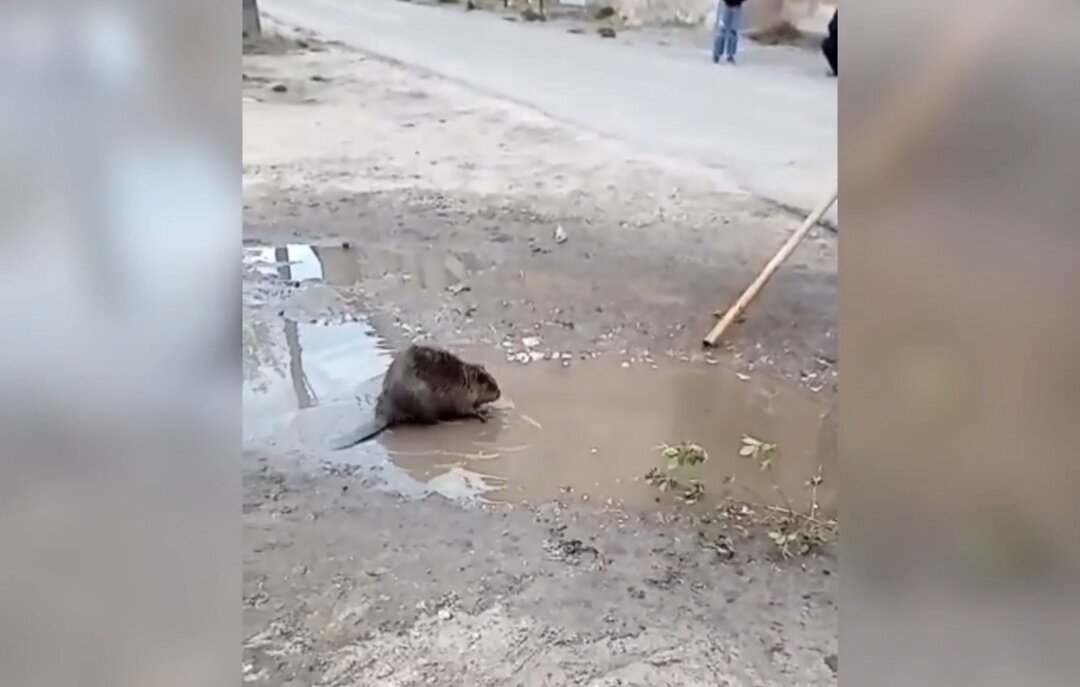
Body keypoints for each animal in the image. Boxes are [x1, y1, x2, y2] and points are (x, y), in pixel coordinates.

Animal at [328, 343, 501, 451]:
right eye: (489, 383)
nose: (499, 393)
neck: (463, 380)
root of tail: (383, 414)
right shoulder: (461, 397)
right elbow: (467, 409)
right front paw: (484, 412)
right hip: (422, 401)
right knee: (429, 421)